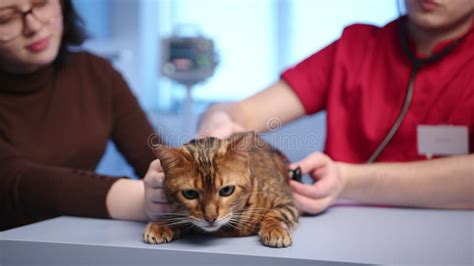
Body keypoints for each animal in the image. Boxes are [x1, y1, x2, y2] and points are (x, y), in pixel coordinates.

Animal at [143, 131, 298, 247]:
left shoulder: (288, 203)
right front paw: (162, 224)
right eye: (189, 193)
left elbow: (276, 214)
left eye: (226, 190)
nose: (210, 218)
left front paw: (275, 229)